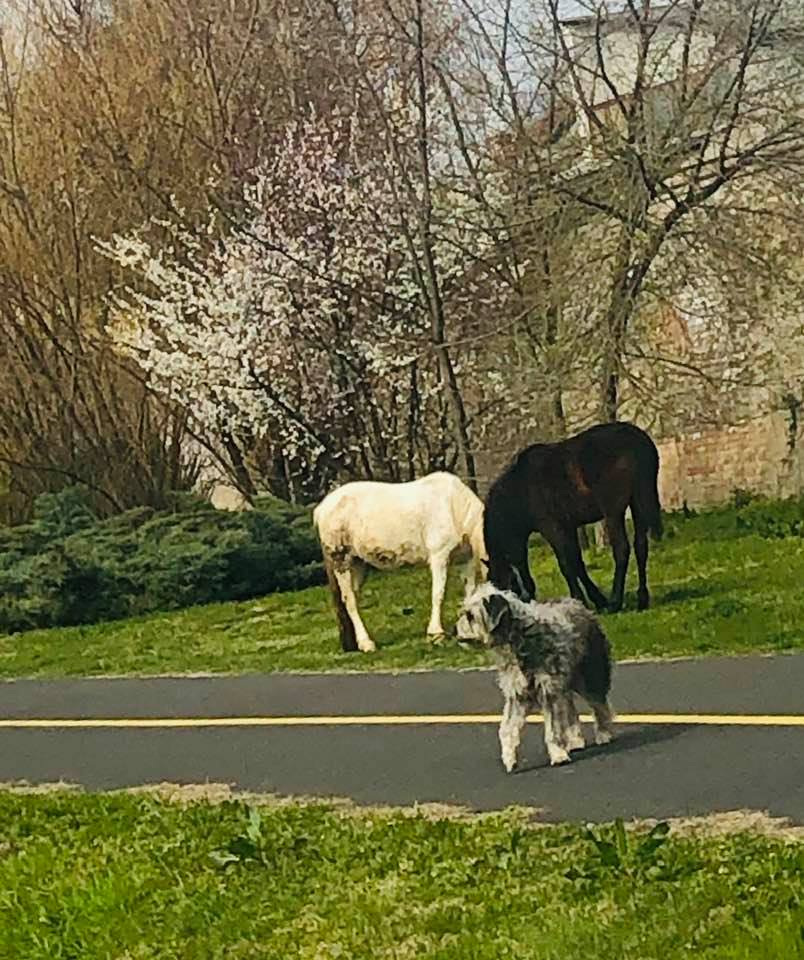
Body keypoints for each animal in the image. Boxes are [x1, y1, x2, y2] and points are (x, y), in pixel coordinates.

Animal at [314, 472, 484, 652]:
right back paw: (367, 643)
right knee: (350, 601)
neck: (454, 507)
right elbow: (438, 594)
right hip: (343, 562)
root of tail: (321, 509)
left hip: (358, 564)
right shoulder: (439, 556)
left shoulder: (465, 560)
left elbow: (470, 595)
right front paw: (436, 634)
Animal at [458, 576, 616, 772]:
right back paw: (575, 741)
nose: (455, 632)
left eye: (470, 616)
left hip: (589, 674)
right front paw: (509, 758)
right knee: (570, 710)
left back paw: (603, 733)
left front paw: (558, 754)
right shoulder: (517, 696)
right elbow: (507, 729)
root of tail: (579, 604)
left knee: (599, 704)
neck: (518, 642)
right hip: (564, 684)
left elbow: (553, 730)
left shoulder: (548, 691)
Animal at [486, 422, 664, 616]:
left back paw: (615, 602)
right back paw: (641, 600)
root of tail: (636, 439)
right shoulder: (569, 528)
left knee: (622, 549)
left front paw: (580, 600)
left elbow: (566, 565)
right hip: (637, 504)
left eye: (504, 585)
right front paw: (597, 600)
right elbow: (577, 563)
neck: (521, 489)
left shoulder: (552, 529)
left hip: (613, 512)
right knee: (641, 547)